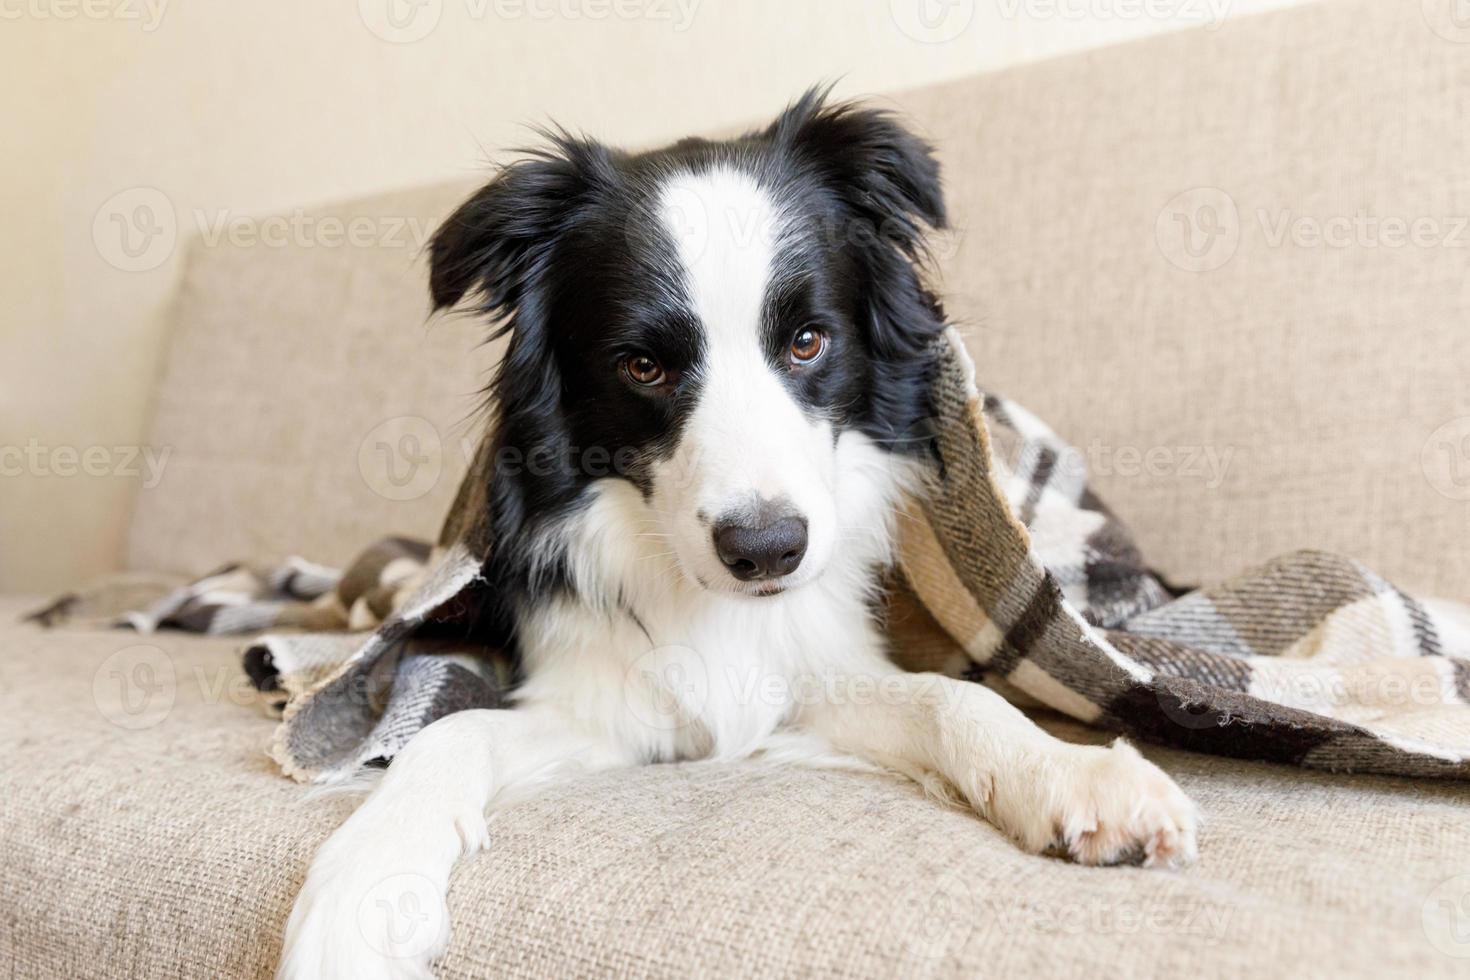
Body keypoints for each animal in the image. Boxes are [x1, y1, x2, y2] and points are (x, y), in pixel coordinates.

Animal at [280, 91, 1199, 980]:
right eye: (642, 366)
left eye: (808, 341)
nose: (767, 551)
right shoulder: (600, 699)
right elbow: (448, 732)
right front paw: (363, 893)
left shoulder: (807, 669)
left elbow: (951, 697)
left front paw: (1074, 776)